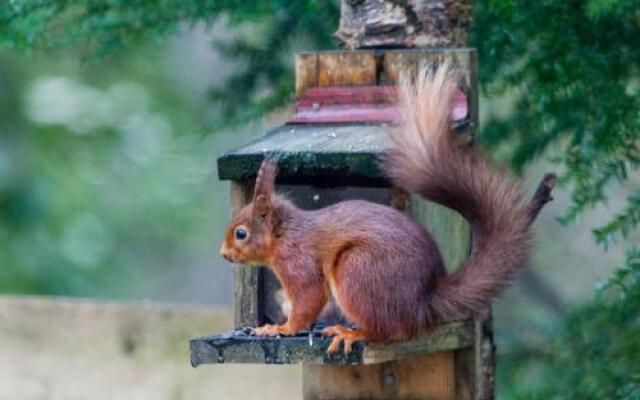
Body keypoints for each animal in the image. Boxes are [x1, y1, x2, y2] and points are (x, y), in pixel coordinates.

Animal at [220, 64, 536, 354]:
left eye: (240, 233)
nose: (223, 254)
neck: (284, 234)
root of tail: (423, 302)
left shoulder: (299, 262)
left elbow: (308, 299)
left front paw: (280, 328)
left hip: (357, 270)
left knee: (385, 330)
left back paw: (351, 333)